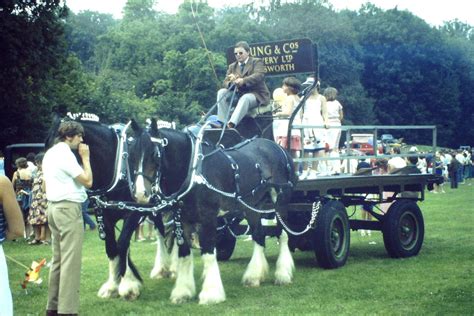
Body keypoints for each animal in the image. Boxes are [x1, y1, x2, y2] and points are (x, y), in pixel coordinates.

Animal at [44, 115, 173, 300]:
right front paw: (113, 285)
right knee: (161, 231)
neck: (117, 170)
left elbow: (123, 243)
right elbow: (112, 248)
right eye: (46, 146)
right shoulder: (104, 215)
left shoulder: (134, 212)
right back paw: (161, 268)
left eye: (63, 152)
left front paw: (127, 285)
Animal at [130, 119, 298, 304]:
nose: (140, 194)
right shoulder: (182, 219)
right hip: (253, 206)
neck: (193, 171)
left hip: (280, 201)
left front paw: (211, 294)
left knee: (283, 234)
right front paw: (182, 292)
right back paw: (254, 277)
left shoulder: (208, 218)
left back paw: (282, 275)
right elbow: (184, 253)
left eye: (154, 154)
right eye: (131, 155)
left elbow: (209, 252)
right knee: (259, 236)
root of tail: (277, 147)